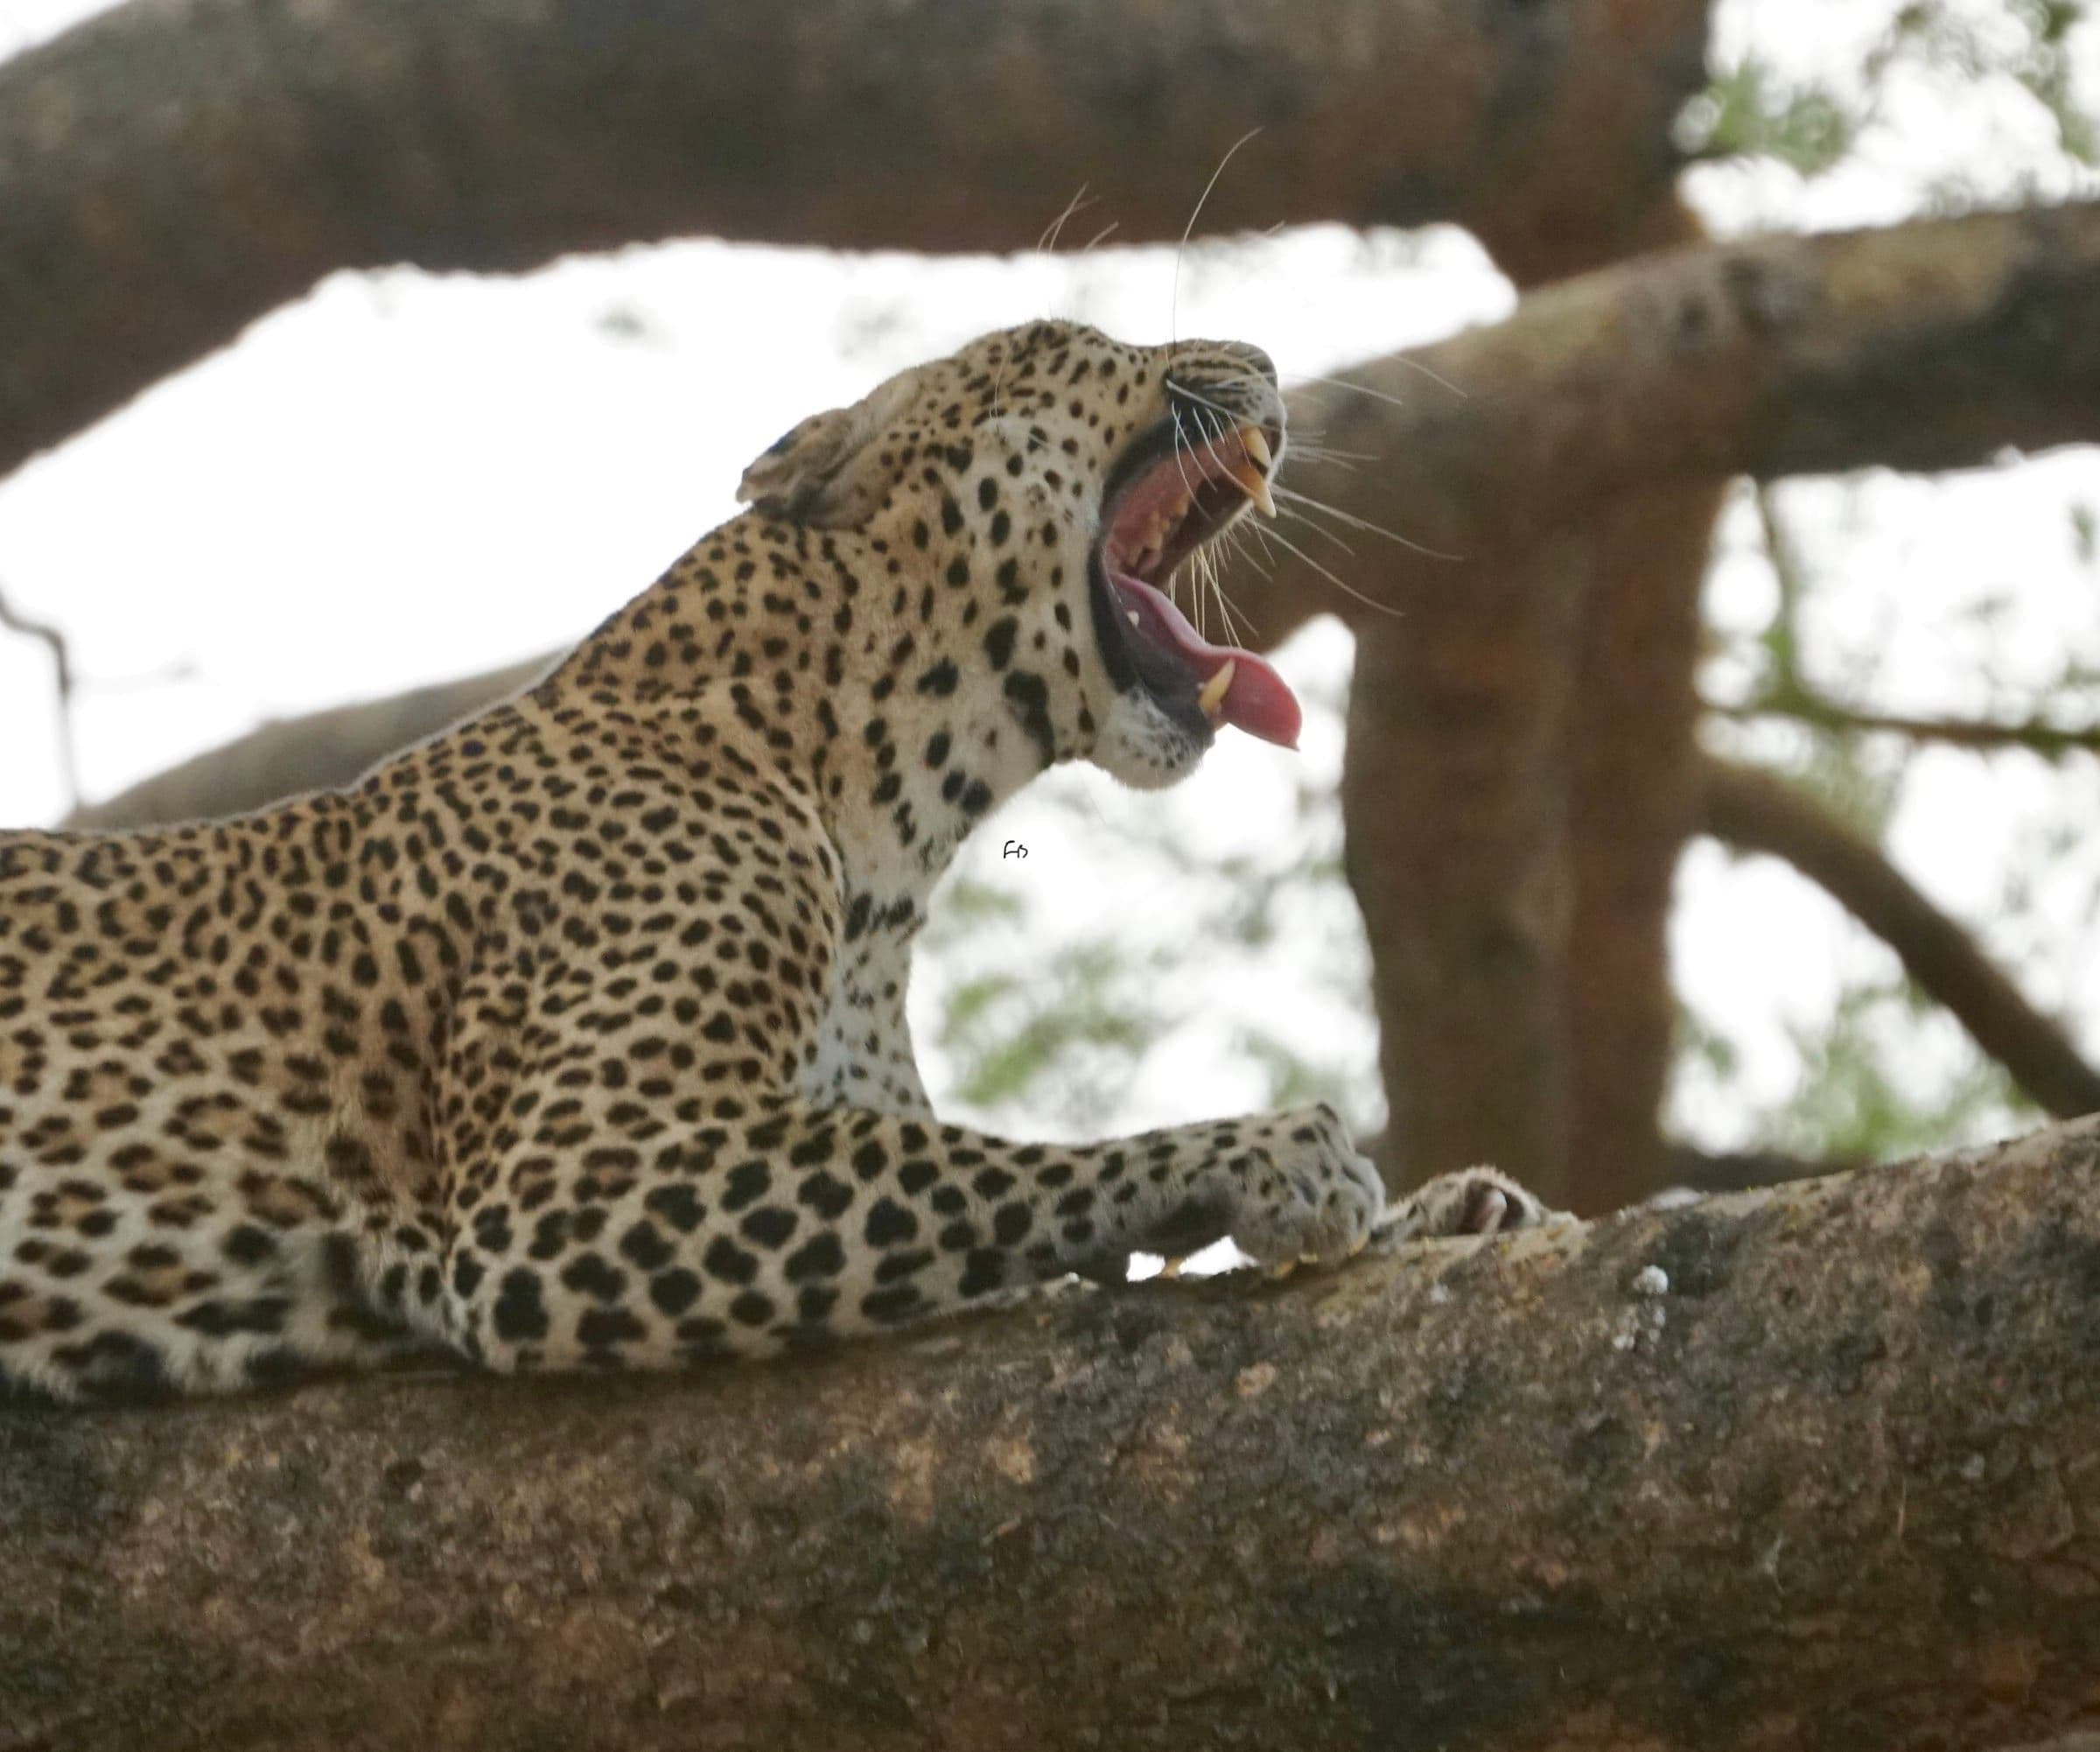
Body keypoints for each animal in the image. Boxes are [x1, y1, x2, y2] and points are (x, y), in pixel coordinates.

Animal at [0, 319, 1548, 1401]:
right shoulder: (569, 1184)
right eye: (1081, 346)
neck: (889, 832)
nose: (1269, 364)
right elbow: (999, 1169)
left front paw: (1453, 1206)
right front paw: (1277, 1153)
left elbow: (984, 1209)